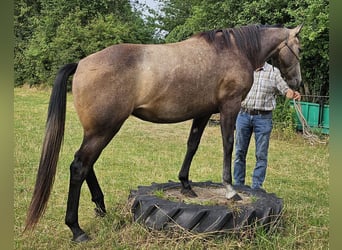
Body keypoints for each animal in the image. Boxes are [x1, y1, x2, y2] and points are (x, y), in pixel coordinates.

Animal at [24, 23, 302, 242]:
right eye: (298, 49)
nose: (297, 83)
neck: (234, 50)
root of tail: (81, 63)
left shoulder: (203, 113)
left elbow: (192, 145)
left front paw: (186, 185)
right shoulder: (229, 107)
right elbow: (228, 144)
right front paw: (230, 190)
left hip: (96, 130)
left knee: (86, 164)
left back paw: (100, 207)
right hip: (104, 129)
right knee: (79, 166)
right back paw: (77, 229)